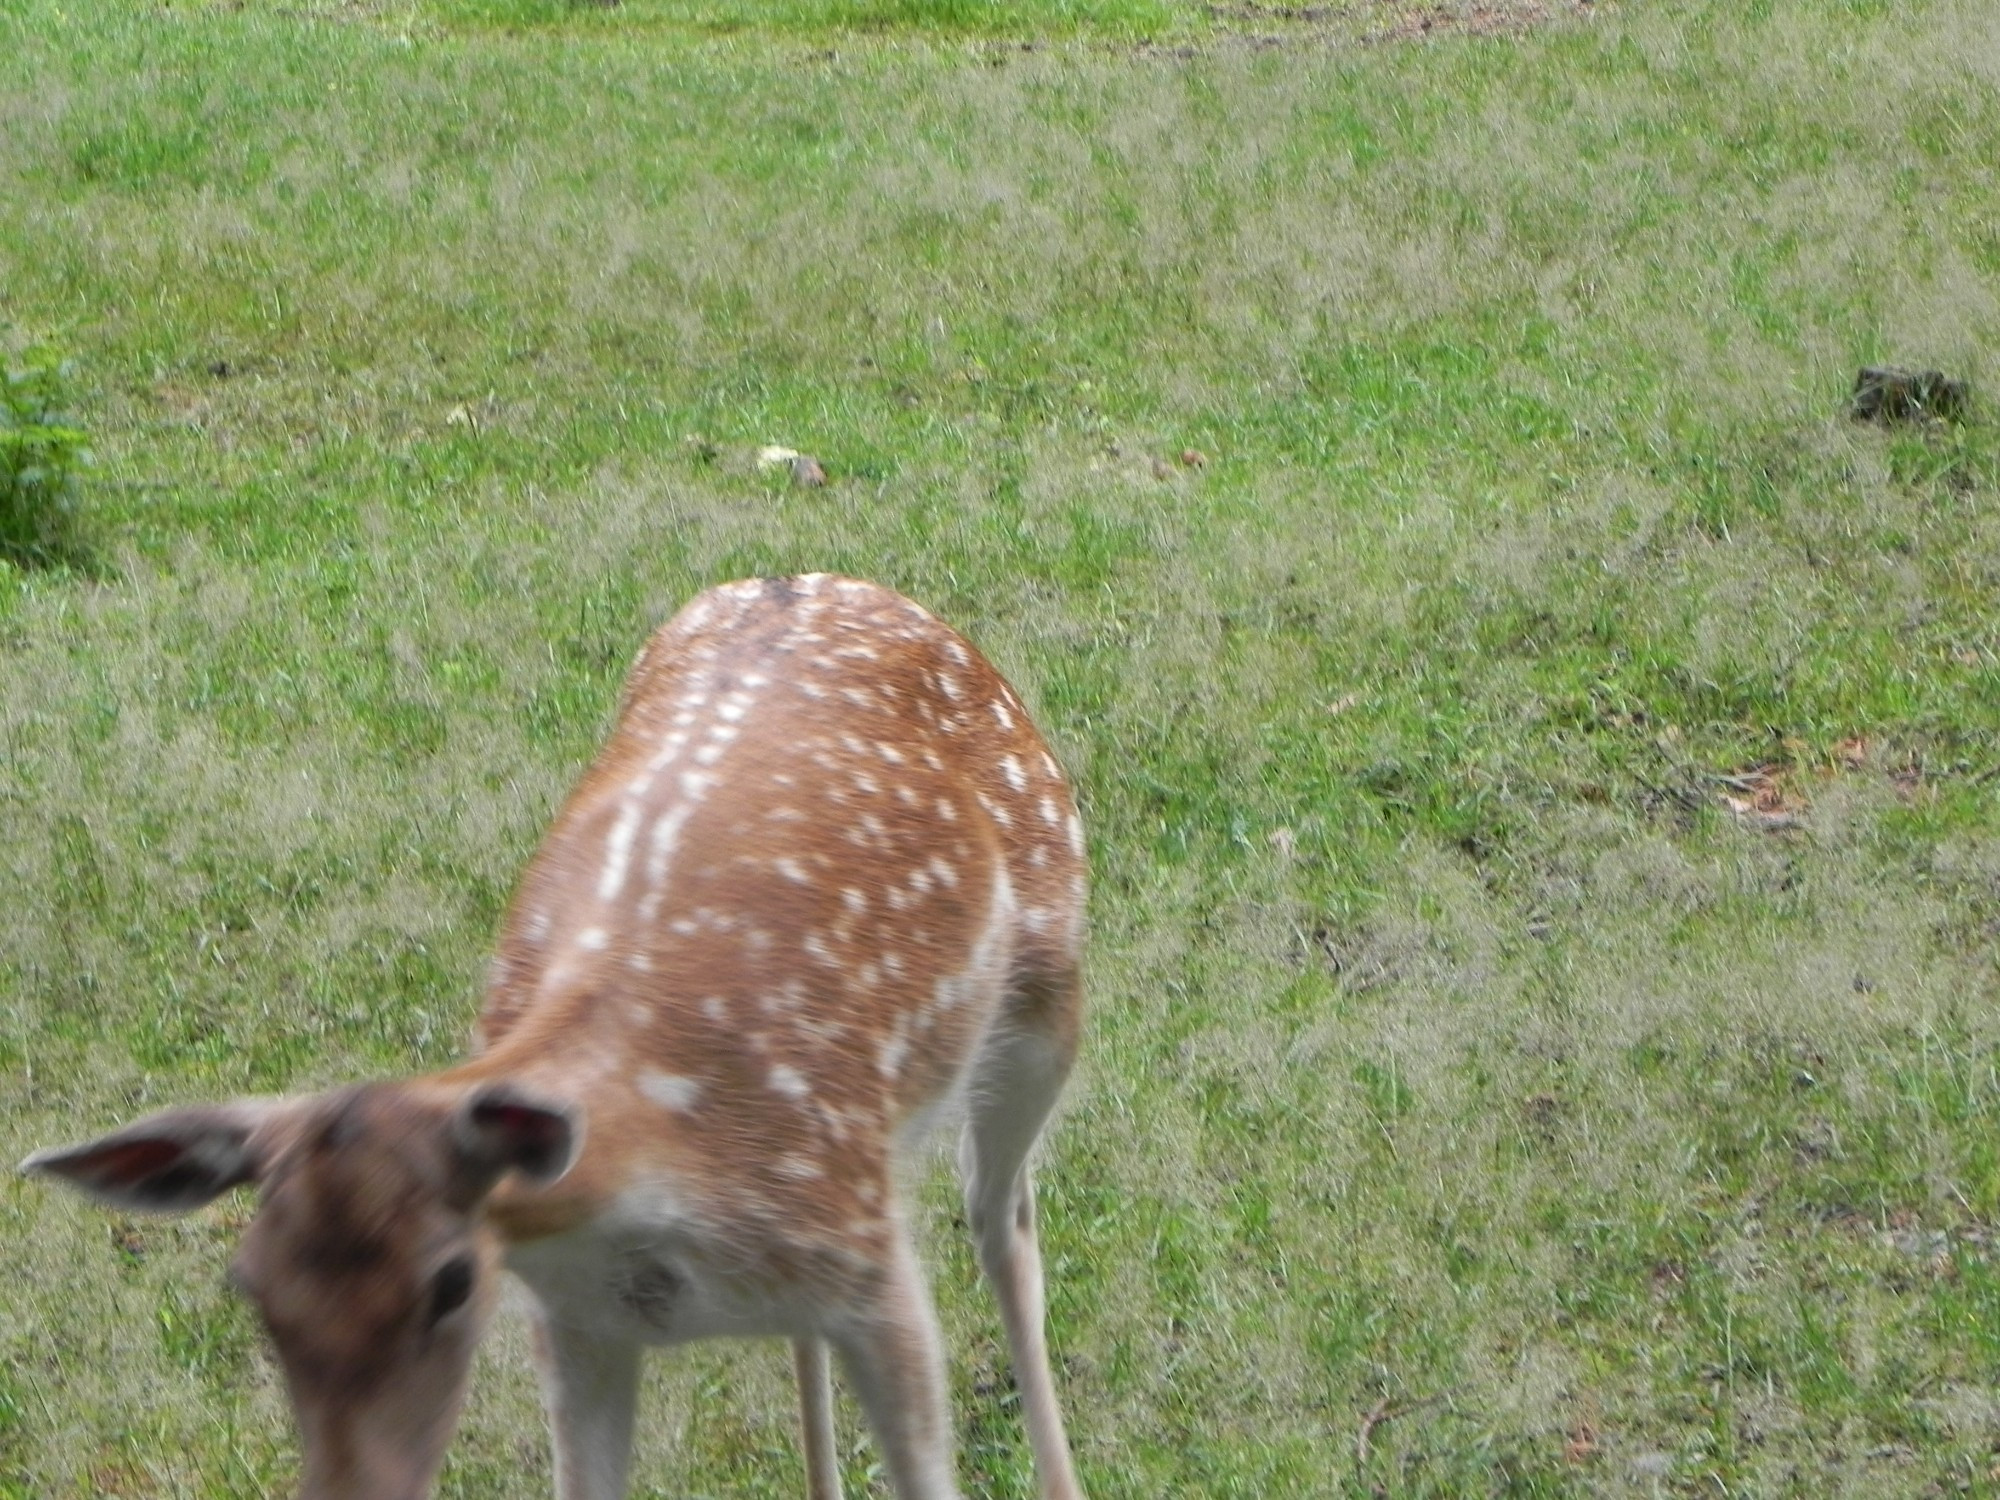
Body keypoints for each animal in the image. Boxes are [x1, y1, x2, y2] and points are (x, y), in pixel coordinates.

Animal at [23, 580, 1088, 1500]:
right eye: (250, 1286)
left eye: (453, 1281)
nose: (351, 1488)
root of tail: (819, 578)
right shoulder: (577, 1321)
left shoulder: (872, 1271)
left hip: (1048, 994)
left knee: (1002, 1217)